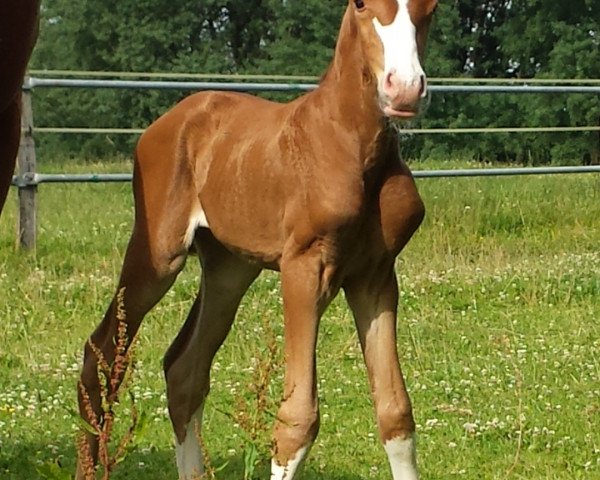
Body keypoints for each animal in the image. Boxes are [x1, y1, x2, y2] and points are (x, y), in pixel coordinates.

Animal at [77, 1, 438, 478]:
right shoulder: (303, 268)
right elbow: (296, 421)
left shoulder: (375, 276)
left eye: (431, 8)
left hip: (229, 268)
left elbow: (395, 412)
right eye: (360, 6)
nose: (404, 89)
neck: (354, 147)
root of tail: (169, 121)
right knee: (99, 354)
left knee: (184, 369)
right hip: (158, 256)